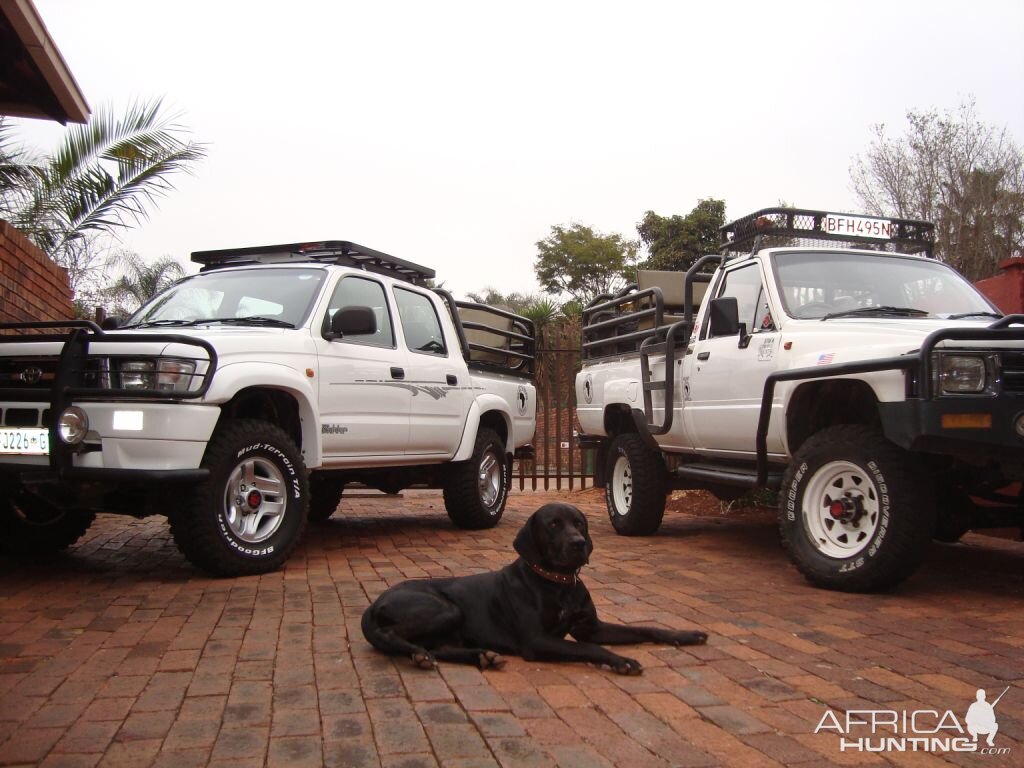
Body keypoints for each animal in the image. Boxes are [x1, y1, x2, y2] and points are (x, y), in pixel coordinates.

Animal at [358, 505, 704, 671]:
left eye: (580, 524)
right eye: (553, 524)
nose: (579, 544)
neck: (559, 584)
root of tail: (373, 605)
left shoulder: (591, 627)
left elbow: (645, 627)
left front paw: (684, 635)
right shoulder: (538, 641)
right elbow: (589, 648)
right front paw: (620, 661)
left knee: (440, 647)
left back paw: (483, 656)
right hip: (446, 609)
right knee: (397, 637)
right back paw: (419, 655)